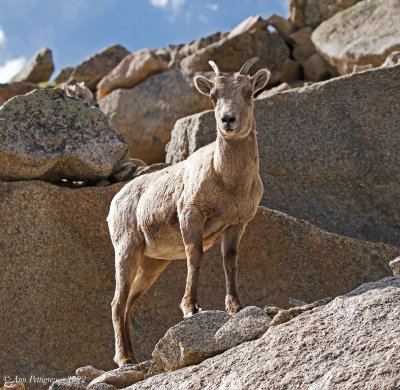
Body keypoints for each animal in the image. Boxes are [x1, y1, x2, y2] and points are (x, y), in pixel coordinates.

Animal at [107, 57, 268, 366]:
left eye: (249, 92)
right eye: (213, 96)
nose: (227, 120)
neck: (229, 181)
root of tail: (113, 205)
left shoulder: (237, 224)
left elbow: (230, 263)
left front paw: (236, 307)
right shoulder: (191, 214)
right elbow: (195, 258)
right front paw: (191, 308)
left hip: (152, 263)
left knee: (129, 302)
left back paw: (131, 356)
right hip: (127, 249)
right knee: (118, 302)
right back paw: (124, 359)